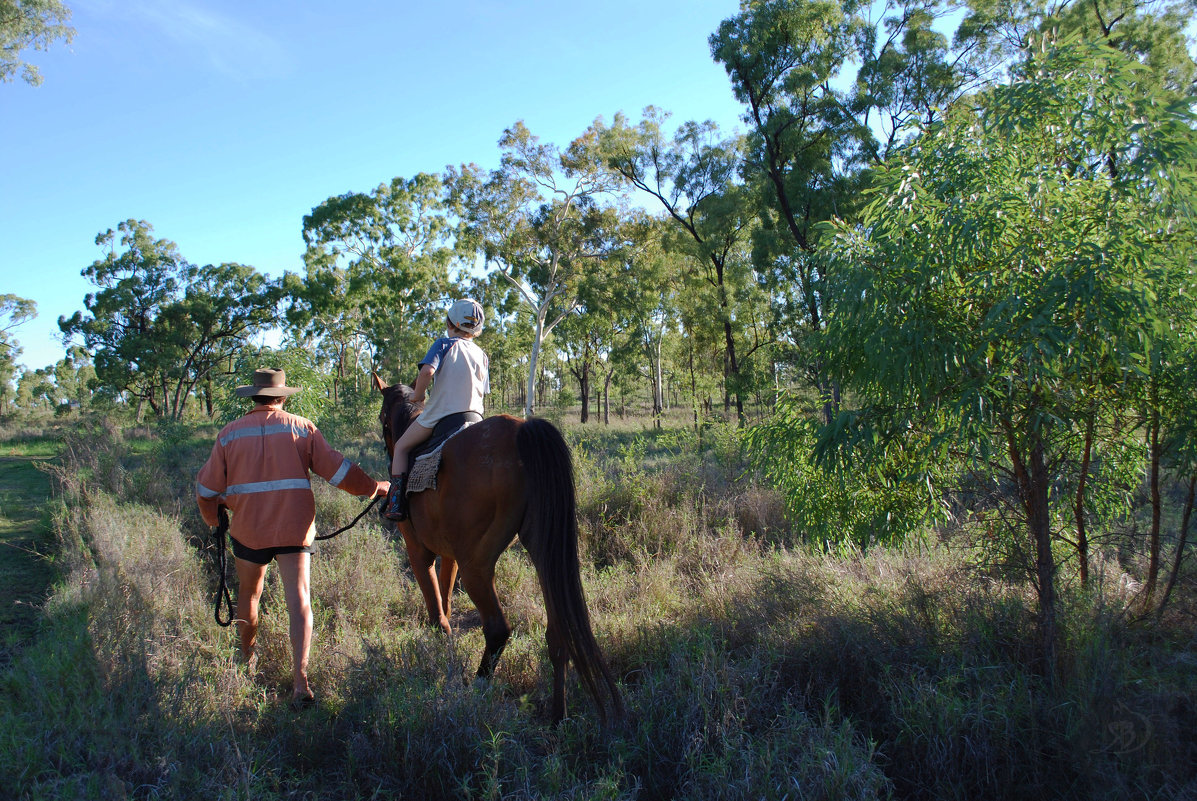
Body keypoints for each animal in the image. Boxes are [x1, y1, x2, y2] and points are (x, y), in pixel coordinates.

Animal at [373, 375, 622, 723]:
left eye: (383, 417)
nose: (388, 448)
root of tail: (521, 431)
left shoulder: (418, 551)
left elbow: (437, 613)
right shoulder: (449, 553)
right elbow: (446, 600)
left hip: (476, 565)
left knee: (498, 629)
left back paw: (474, 694)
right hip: (542, 552)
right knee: (557, 635)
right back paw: (558, 716)